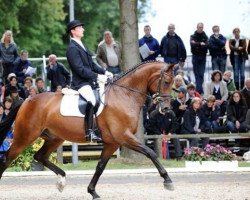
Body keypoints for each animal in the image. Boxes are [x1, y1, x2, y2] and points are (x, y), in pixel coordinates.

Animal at [0, 61, 175, 199]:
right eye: (166, 82)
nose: (166, 109)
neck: (124, 94)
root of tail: (27, 100)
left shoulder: (112, 142)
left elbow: (100, 167)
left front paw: (92, 192)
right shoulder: (124, 137)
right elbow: (150, 152)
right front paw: (167, 181)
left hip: (55, 138)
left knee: (40, 156)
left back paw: (62, 180)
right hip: (25, 136)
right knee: (7, 158)